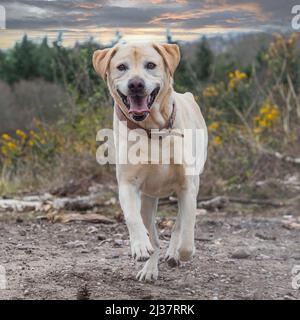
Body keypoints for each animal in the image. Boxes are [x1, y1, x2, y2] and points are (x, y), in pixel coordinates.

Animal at [92, 42, 207, 280]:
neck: (153, 130)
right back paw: (150, 267)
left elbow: (186, 228)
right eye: (122, 67)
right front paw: (139, 246)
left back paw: (172, 253)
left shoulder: (187, 185)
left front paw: (181, 252)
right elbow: (132, 218)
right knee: (152, 234)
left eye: (151, 65)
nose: (136, 84)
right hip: (148, 198)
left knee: (179, 222)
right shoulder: (128, 184)